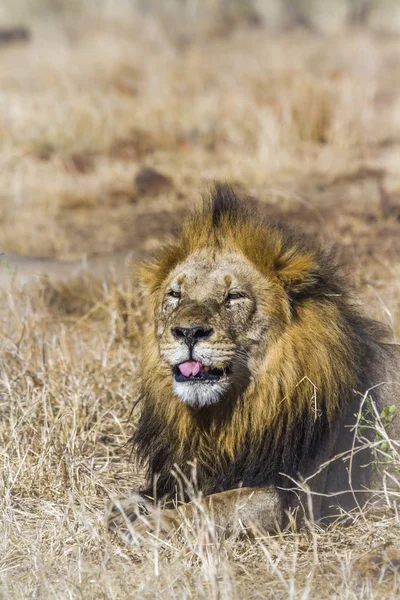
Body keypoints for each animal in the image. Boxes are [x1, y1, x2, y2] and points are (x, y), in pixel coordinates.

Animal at [105, 185, 400, 540]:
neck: (229, 415)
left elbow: (214, 505)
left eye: (234, 297)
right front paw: (128, 507)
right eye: (175, 295)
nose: (188, 332)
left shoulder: (297, 500)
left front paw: (156, 524)